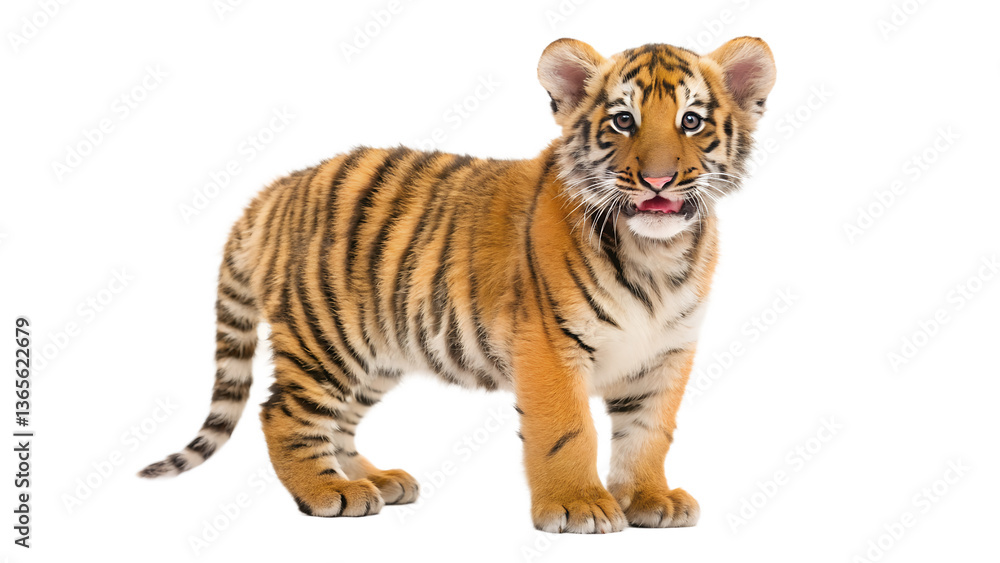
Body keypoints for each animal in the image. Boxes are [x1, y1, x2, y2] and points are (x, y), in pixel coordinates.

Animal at [139, 36, 775, 534]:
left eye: (691, 121)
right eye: (623, 121)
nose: (659, 180)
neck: (657, 254)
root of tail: (272, 189)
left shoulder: (667, 353)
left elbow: (649, 432)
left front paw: (649, 499)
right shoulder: (550, 346)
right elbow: (567, 431)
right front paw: (578, 506)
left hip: (376, 351)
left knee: (337, 421)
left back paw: (374, 480)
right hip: (325, 336)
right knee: (284, 412)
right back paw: (327, 492)